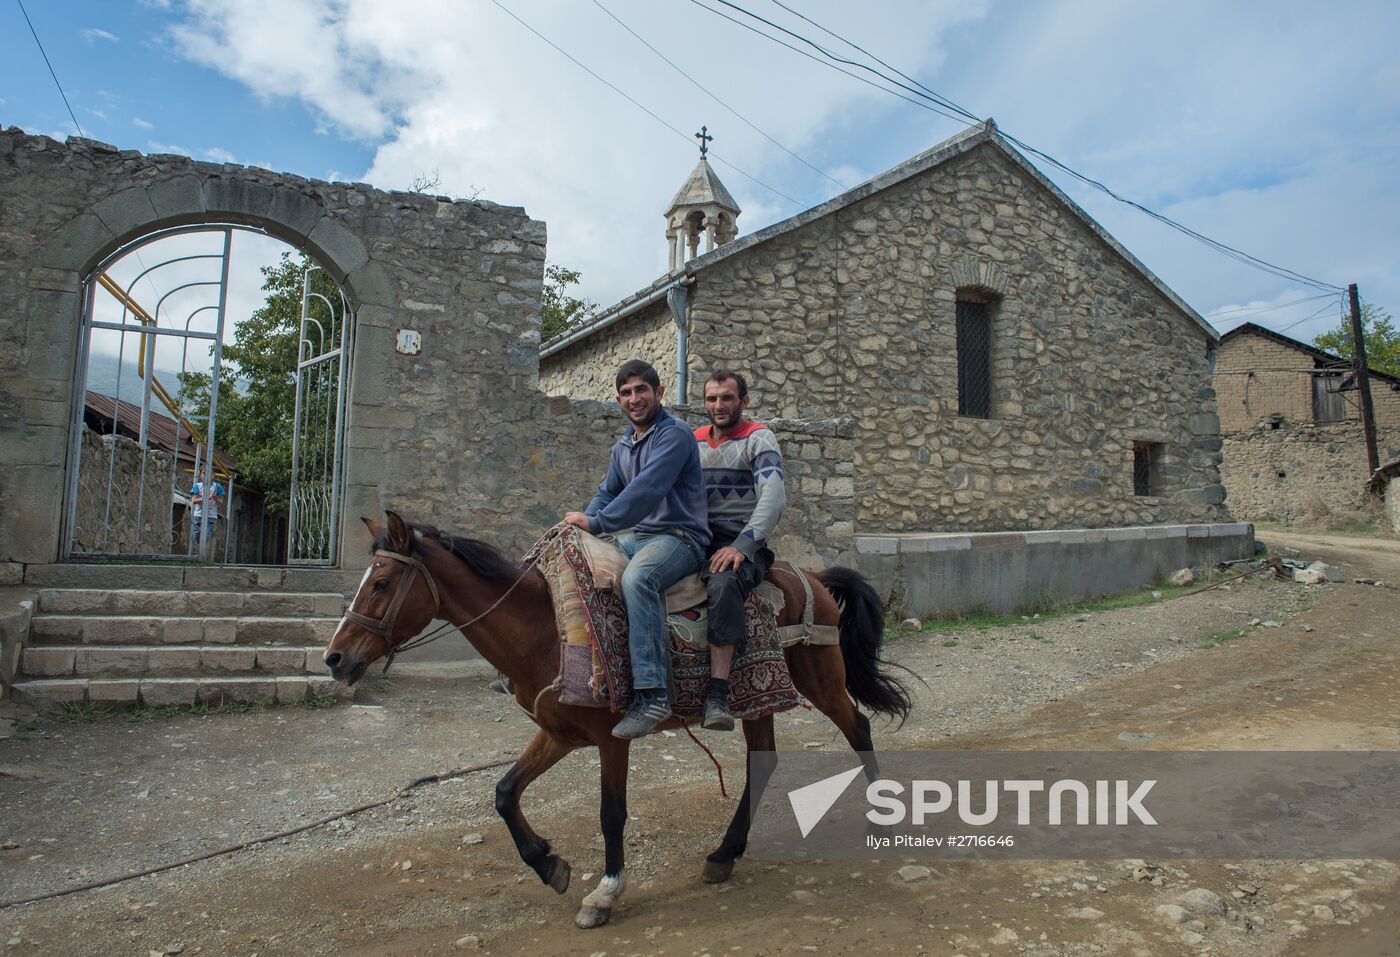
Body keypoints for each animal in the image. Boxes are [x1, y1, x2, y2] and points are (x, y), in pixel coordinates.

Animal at [320, 512, 907, 929]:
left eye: (381, 583)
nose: (335, 658)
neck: (546, 628)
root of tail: (812, 576)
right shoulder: (558, 733)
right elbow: (505, 792)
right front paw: (549, 864)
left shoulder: (612, 739)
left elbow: (611, 814)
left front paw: (604, 894)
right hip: (759, 701)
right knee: (763, 764)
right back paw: (724, 854)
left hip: (818, 679)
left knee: (857, 728)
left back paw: (882, 820)